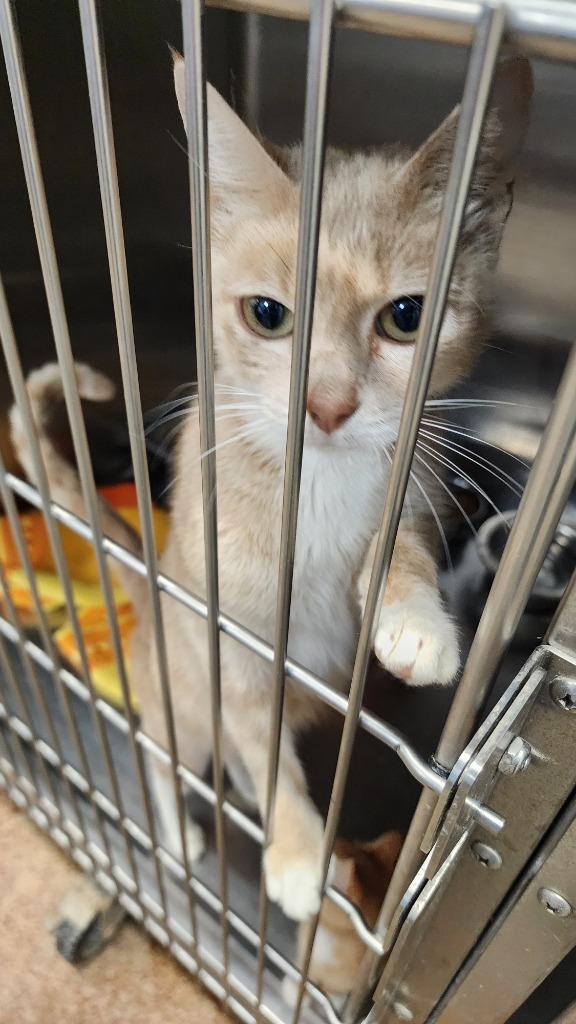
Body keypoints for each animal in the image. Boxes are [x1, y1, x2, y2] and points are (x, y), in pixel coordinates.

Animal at [8, 54, 528, 921]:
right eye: (267, 315)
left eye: (406, 318)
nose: (328, 405)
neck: (315, 484)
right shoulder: (236, 647)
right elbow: (260, 739)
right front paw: (293, 854)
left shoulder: (413, 487)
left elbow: (405, 549)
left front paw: (414, 620)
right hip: (180, 700)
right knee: (166, 750)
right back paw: (184, 830)